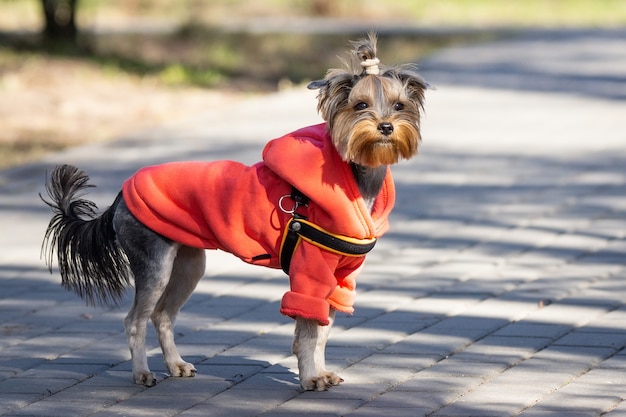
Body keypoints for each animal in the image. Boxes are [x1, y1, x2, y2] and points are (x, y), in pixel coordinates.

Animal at [40, 33, 428, 390]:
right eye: (360, 105)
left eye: (399, 106)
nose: (385, 126)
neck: (358, 178)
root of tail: (120, 196)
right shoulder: (310, 274)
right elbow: (307, 332)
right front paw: (310, 377)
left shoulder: (339, 280)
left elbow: (323, 330)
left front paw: (321, 371)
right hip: (155, 263)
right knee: (135, 319)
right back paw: (142, 373)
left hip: (189, 264)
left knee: (163, 315)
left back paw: (176, 365)